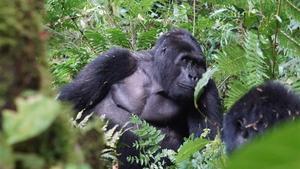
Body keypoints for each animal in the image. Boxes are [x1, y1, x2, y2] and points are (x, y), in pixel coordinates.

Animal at [59, 29, 223, 168]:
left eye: (199, 64)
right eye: (186, 60)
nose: (194, 76)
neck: (156, 77)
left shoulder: (207, 85)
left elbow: (207, 148)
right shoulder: (115, 59)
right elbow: (68, 101)